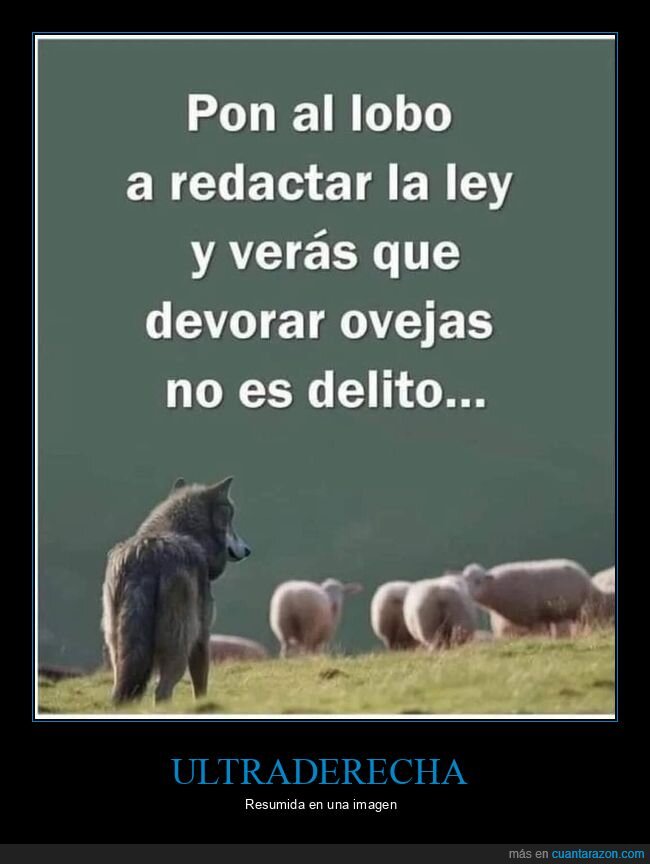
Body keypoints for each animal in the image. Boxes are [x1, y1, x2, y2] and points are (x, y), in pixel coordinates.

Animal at [101, 476, 250, 704]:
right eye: (230, 521)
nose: (248, 550)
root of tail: (146, 559)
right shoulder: (202, 636)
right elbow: (201, 686)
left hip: (117, 650)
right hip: (179, 648)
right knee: (162, 691)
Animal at [463, 559, 592, 637]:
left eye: (478, 581)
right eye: (465, 580)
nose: (468, 593)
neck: (494, 586)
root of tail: (579, 568)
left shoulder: (531, 616)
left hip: (579, 610)